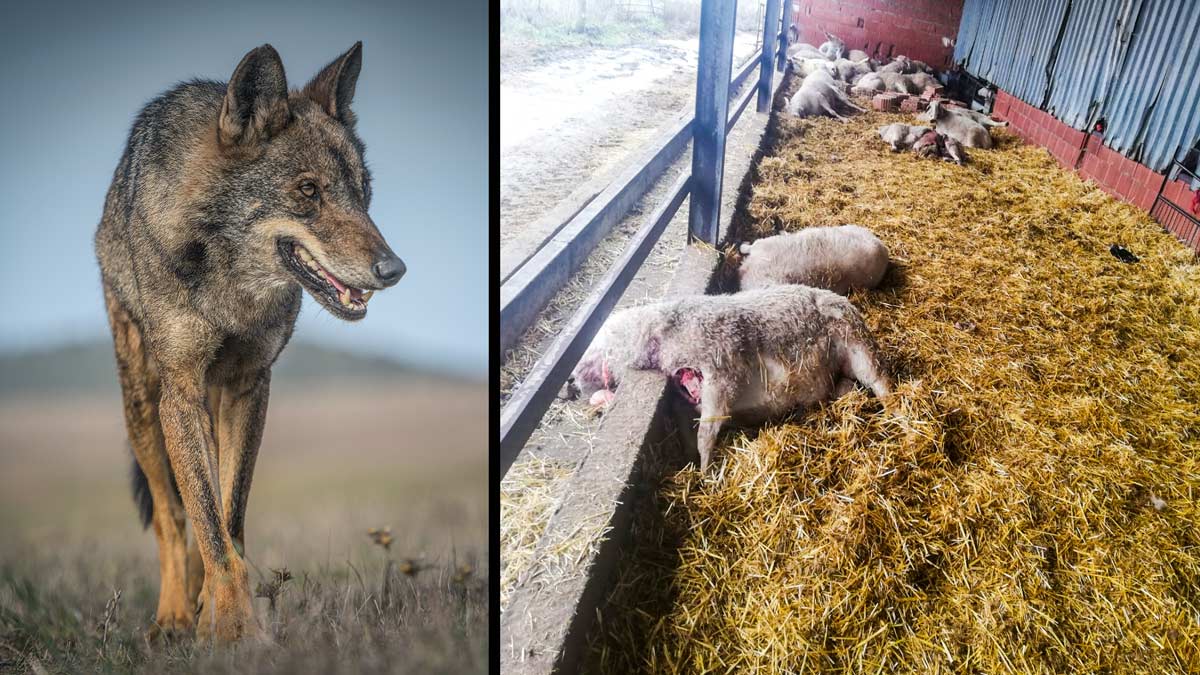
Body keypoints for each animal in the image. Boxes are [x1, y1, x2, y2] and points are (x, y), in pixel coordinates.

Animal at [93, 42, 403, 638]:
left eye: (364, 192)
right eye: (308, 191)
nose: (393, 269)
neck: (232, 289)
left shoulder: (247, 385)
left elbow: (228, 516)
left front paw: (226, 621)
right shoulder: (182, 392)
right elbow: (205, 524)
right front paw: (231, 630)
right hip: (142, 405)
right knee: (170, 516)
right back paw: (172, 616)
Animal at [564, 283, 892, 468]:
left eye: (592, 343)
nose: (569, 383)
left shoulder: (721, 366)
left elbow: (708, 428)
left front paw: (706, 472)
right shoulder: (685, 398)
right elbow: (691, 429)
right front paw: (693, 464)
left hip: (857, 342)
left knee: (881, 381)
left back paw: (895, 413)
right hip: (838, 375)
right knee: (847, 388)